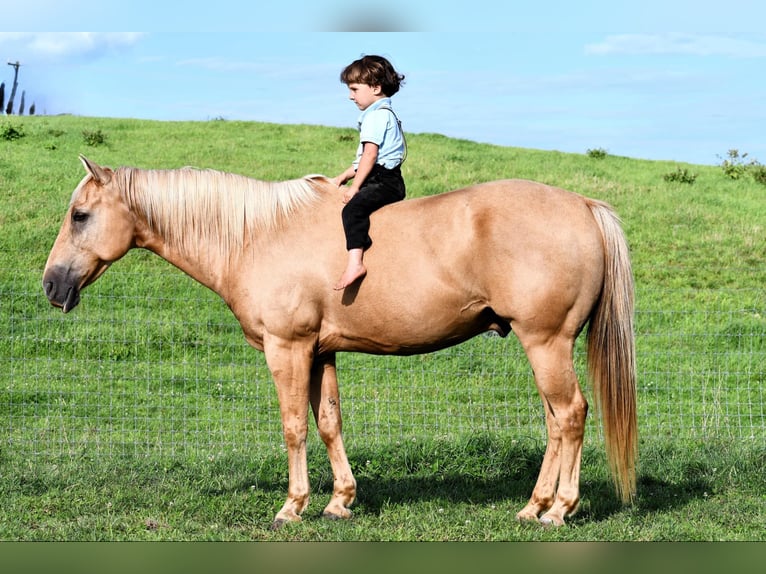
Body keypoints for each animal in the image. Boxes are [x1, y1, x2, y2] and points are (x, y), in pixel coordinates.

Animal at [43, 155, 640, 528]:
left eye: (80, 215)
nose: (51, 285)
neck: (256, 236)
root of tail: (584, 206)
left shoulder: (287, 348)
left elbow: (293, 427)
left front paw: (293, 506)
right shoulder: (320, 351)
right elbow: (328, 422)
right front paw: (340, 501)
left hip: (546, 343)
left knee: (571, 414)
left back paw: (559, 509)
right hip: (543, 347)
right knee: (556, 421)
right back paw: (533, 506)